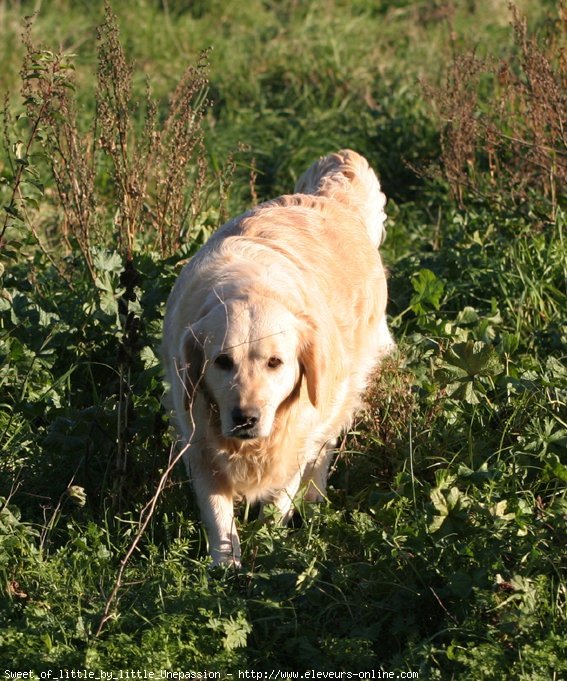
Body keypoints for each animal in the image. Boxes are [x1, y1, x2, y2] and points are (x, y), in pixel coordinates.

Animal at [162, 151, 394, 564]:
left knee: (324, 448)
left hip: (342, 391)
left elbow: (279, 497)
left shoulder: (298, 436)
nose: (245, 418)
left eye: (275, 362)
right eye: (222, 361)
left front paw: (268, 543)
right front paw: (225, 565)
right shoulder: (197, 435)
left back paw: (314, 501)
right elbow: (218, 513)